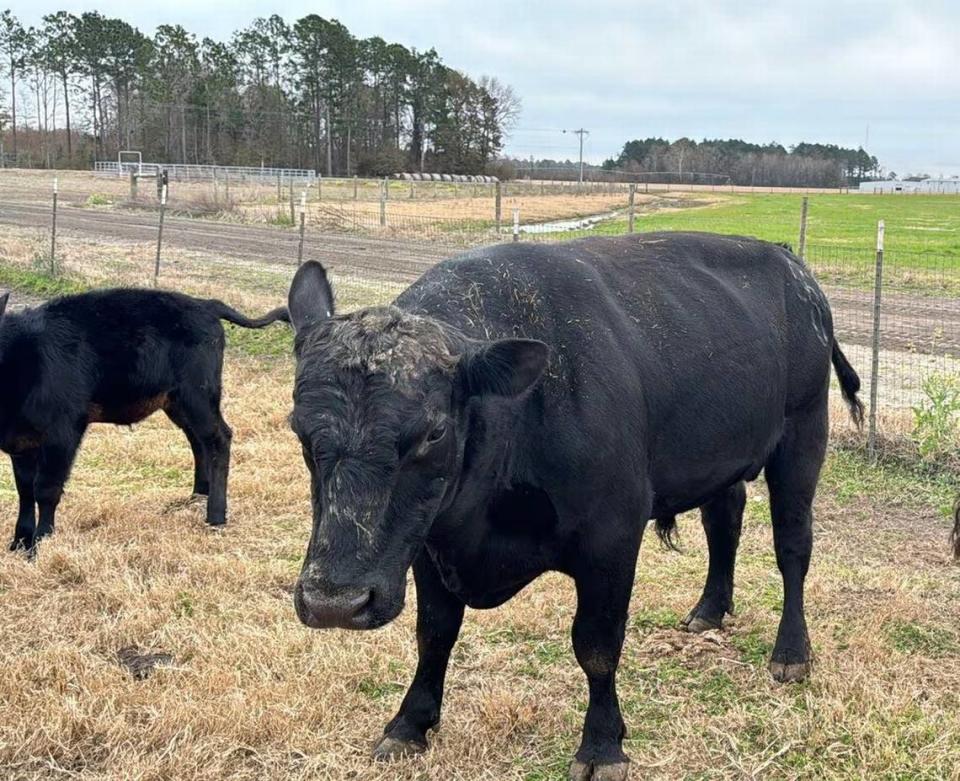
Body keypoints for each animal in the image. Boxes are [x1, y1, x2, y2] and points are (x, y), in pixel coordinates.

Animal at [0, 286, 288, 548]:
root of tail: (205, 304)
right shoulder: (21, 442)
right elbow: (24, 489)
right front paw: (20, 541)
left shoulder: (63, 432)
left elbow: (46, 489)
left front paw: (40, 543)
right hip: (176, 402)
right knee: (198, 441)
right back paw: (198, 495)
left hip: (199, 394)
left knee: (218, 439)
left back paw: (215, 516)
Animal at [284, 233, 864, 780]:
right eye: (299, 429)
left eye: (434, 432)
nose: (334, 603)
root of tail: (792, 265)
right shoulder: (427, 543)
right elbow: (434, 634)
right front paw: (409, 725)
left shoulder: (612, 537)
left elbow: (597, 645)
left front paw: (602, 746)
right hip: (720, 454)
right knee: (725, 522)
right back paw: (709, 610)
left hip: (803, 434)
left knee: (792, 547)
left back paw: (791, 653)